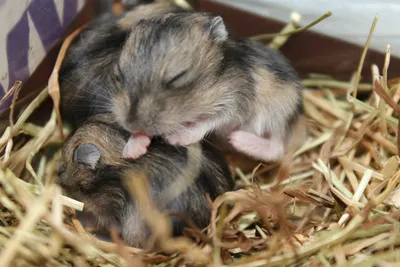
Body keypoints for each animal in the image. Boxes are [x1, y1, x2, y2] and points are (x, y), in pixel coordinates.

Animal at [111, 12, 304, 163]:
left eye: (177, 78)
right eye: (119, 75)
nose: (131, 125)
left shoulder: (235, 102)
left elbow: (207, 121)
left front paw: (175, 137)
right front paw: (132, 151)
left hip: (279, 111)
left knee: (277, 149)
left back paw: (237, 139)